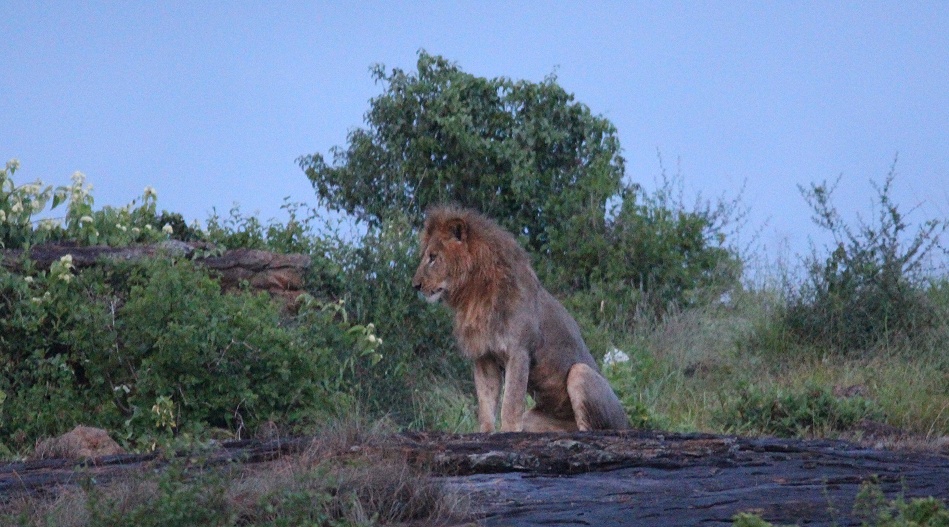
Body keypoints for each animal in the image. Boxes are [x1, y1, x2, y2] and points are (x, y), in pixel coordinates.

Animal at [412, 205, 630, 433]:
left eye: (433, 257)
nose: (415, 285)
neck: (474, 295)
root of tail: (627, 422)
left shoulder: (519, 351)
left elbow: (510, 402)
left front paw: (508, 431)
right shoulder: (484, 357)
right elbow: (486, 403)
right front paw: (486, 432)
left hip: (580, 372)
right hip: (533, 419)